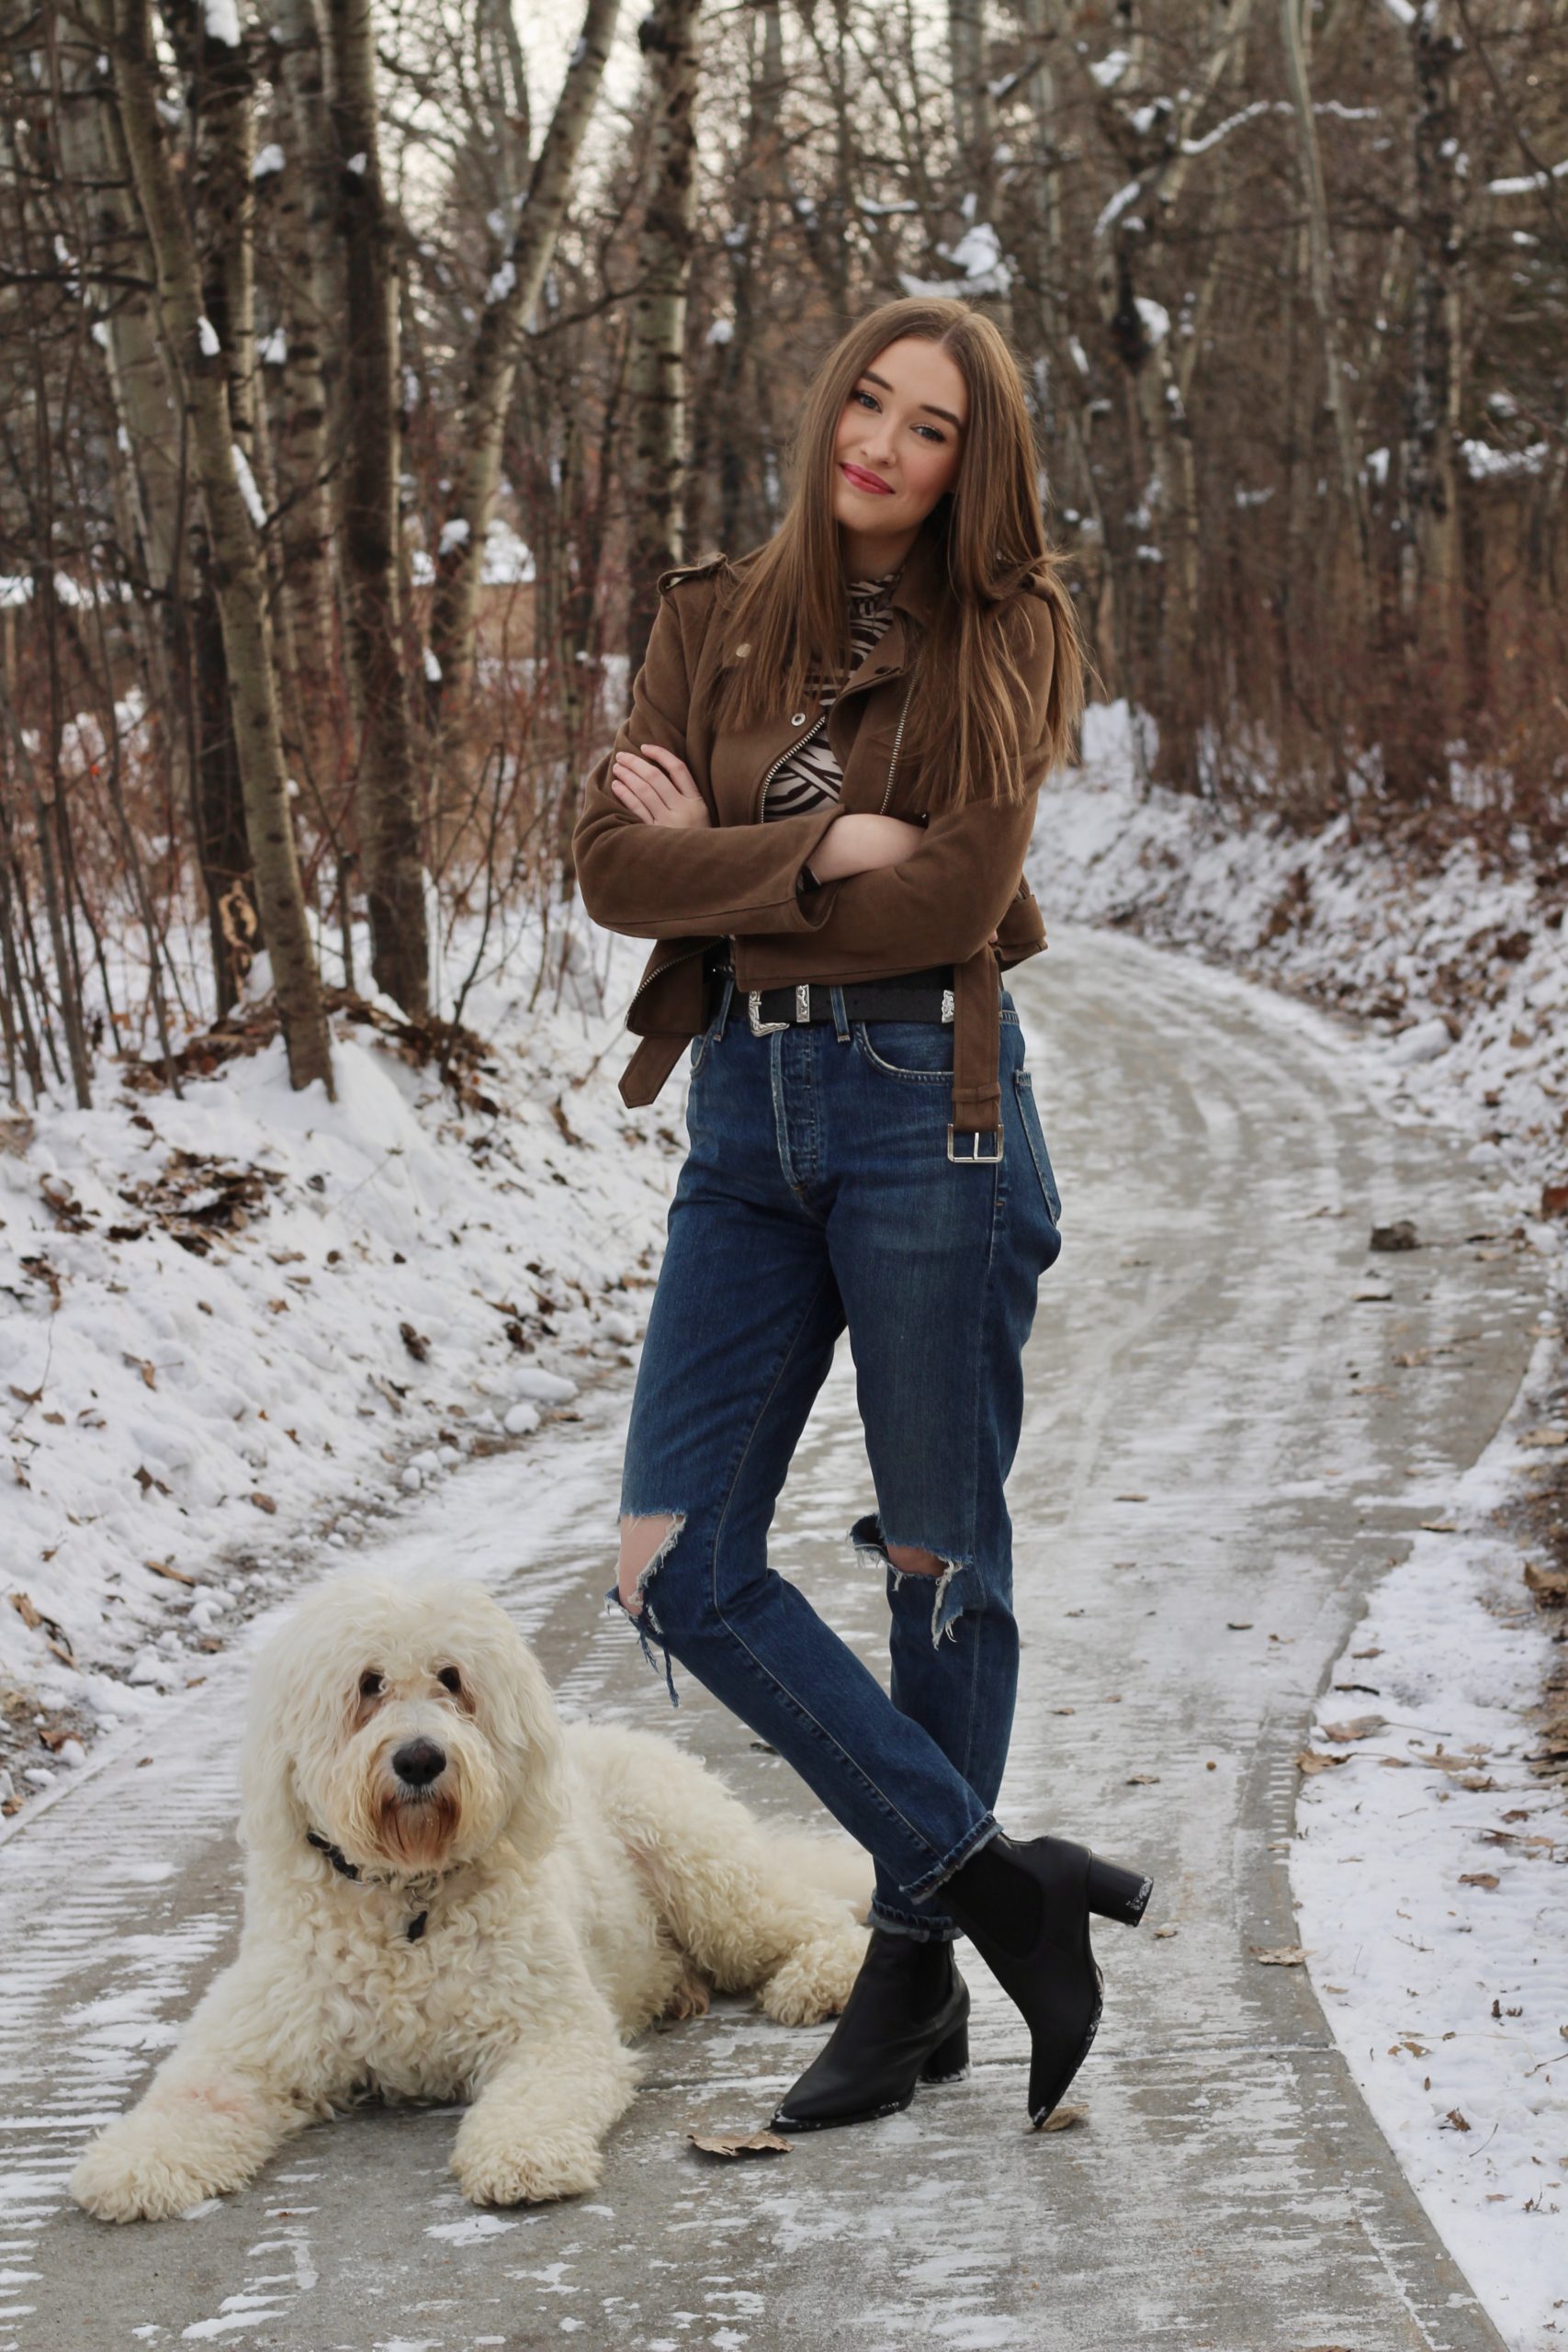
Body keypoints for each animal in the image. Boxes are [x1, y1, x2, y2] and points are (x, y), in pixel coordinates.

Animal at [70, 1561, 869, 2220]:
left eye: (452, 1679)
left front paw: (524, 2158)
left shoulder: (549, 2030)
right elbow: (194, 2092)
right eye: (368, 1684)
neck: (405, 1897)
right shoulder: (256, 2038)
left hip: (700, 1865)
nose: (421, 1759)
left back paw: (818, 1979)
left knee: (810, 1918)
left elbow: (538, 2095)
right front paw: (136, 2162)